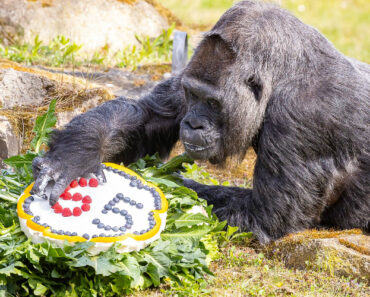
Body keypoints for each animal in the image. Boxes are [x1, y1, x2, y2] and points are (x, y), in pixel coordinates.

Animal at [30, 0, 368, 243]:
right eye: (194, 95)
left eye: (213, 103)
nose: (193, 124)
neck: (285, 73)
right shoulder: (190, 69)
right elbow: (146, 118)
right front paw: (75, 156)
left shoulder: (303, 118)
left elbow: (263, 219)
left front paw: (168, 185)